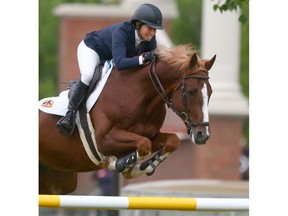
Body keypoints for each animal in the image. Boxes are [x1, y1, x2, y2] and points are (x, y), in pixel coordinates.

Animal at [40, 44, 216, 194]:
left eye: (210, 92)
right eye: (191, 92)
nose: (203, 135)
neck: (139, 95)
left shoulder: (152, 135)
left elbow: (172, 141)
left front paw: (142, 167)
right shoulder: (104, 139)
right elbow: (144, 145)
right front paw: (118, 163)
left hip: (59, 179)